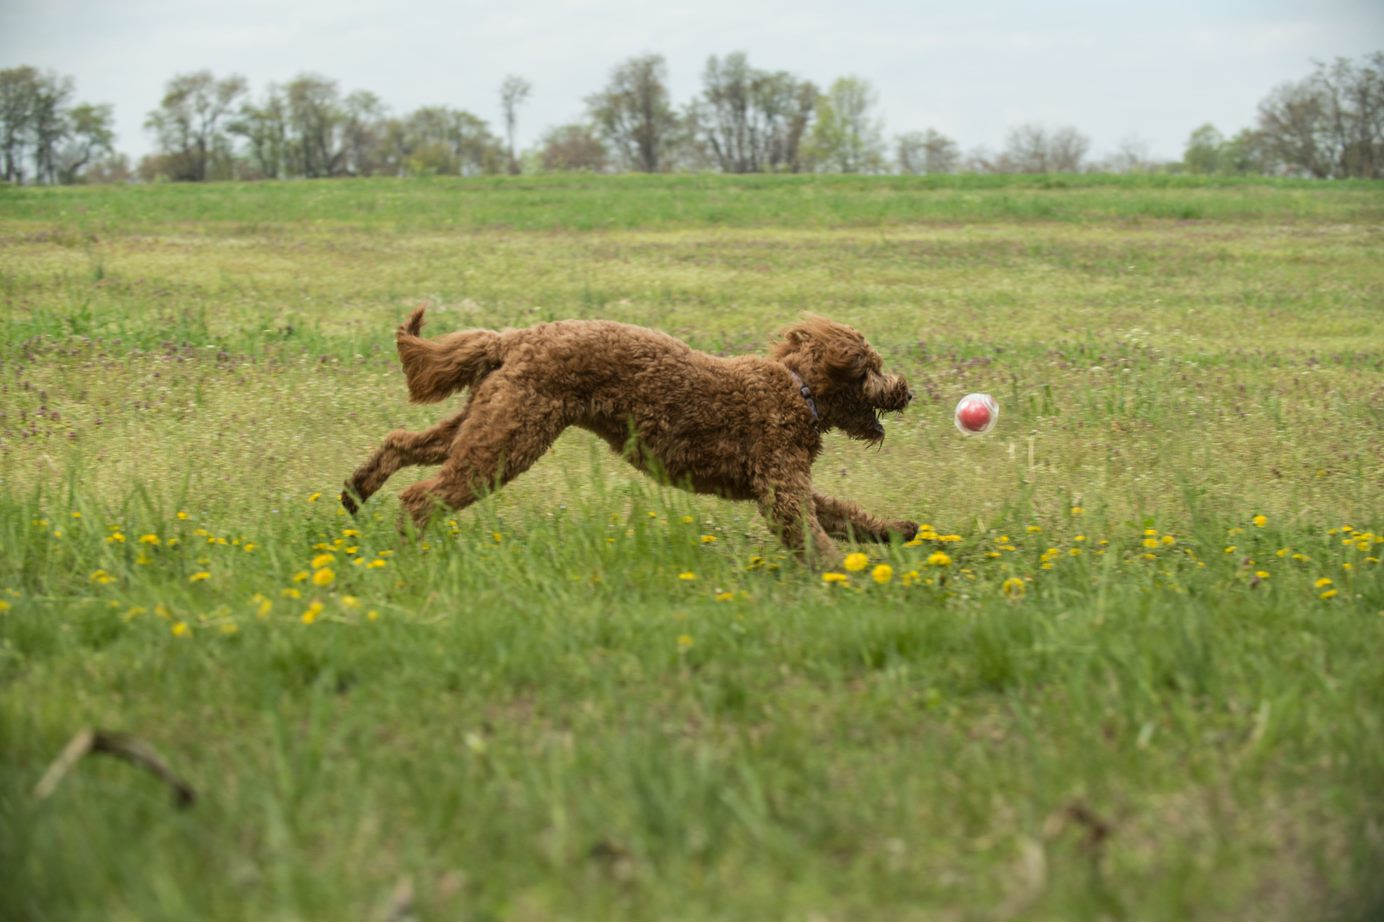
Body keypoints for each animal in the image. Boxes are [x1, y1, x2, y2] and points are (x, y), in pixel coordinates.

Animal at [340, 308, 913, 559]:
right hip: (509, 439)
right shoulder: (780, 489)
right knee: (422, 496)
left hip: (484, 421)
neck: (797, 389)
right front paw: (852, 579)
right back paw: (407, 549)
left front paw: (900, 531)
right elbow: (817, 537)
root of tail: (514, 338)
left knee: (402, 443)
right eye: (874, 367)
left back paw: (356, 489)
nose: (906, 391)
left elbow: (846, 515)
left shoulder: (787, 484)